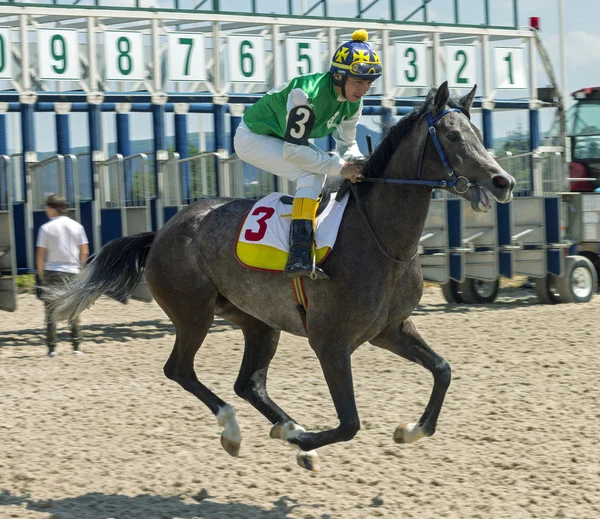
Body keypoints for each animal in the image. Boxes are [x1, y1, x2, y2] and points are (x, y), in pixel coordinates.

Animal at [49, 83, 516, 474]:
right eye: (452, 136)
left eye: (476, 131)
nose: (503, 181)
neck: (380, 240)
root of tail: (162, 230)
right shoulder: (330, 342)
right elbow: (349, 422)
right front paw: (304, 441)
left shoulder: (390, 329)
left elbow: (443, 370)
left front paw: (409, 430)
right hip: (193, 313)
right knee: (180, 369)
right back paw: (241, 431)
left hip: (257, 321)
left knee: (248, 383)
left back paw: (288, 429)